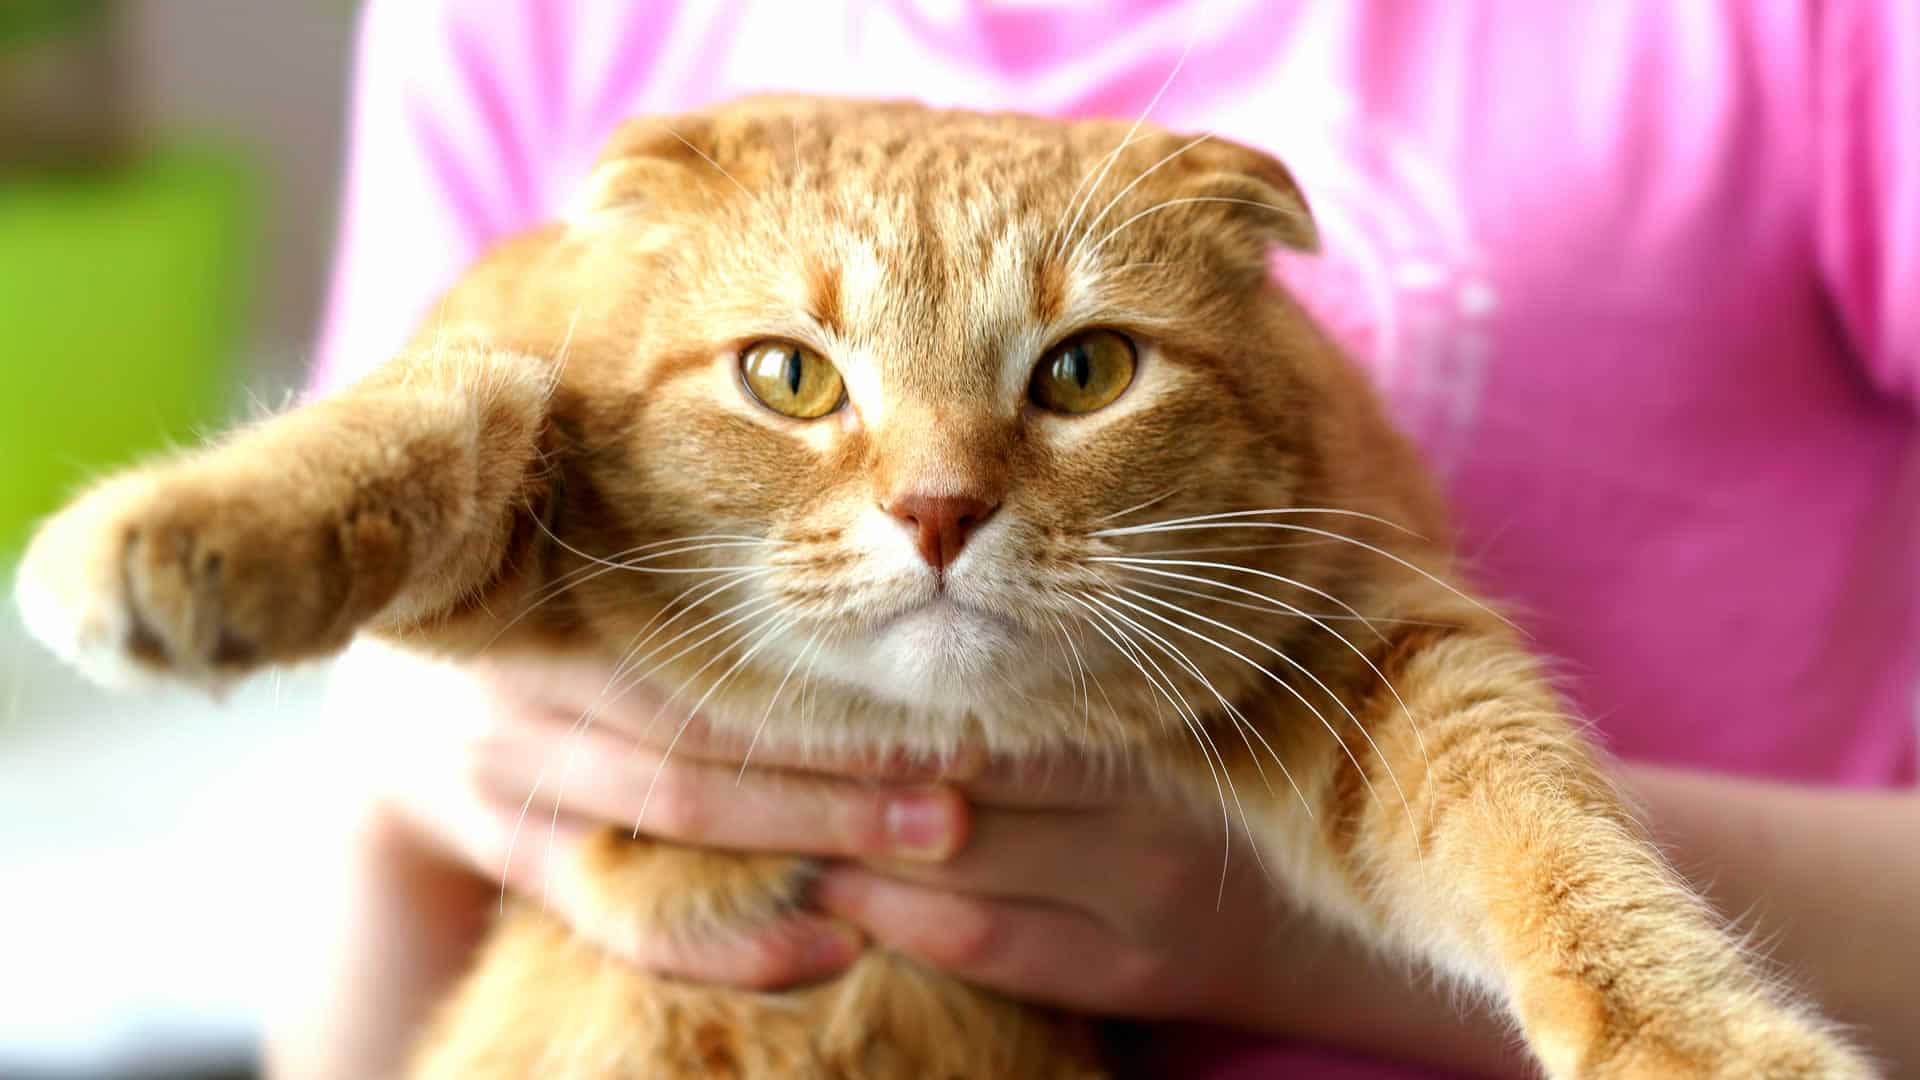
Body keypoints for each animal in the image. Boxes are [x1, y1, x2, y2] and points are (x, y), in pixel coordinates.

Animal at [15, 96, 1873, 1068]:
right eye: (790, 378)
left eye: (1085, 373)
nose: (936, 509)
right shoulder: (505, 462)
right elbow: (435, 414)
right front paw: (185, 530)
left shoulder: (1370, 651)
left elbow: (1557, 848)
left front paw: (1710, 1043)